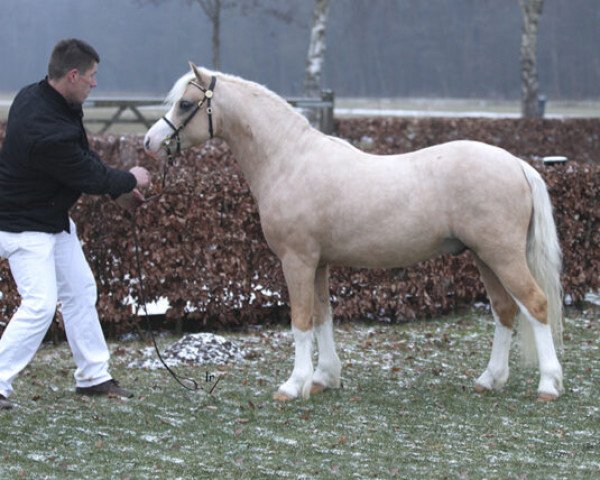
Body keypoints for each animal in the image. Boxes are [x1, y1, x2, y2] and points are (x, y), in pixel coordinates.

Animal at [143, 62, 564, 402]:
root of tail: (516, 164)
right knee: (505, 310)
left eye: (185, 104)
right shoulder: (318, 263)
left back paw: (548, 385)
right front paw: (323, 378)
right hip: (483, 257)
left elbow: (301, 320)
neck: (289, 160)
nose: (150, 142)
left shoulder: (297, 261)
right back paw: (490, 379)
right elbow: (323, 316)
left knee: (535, 304)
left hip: (502, 255)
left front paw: (293, 385)